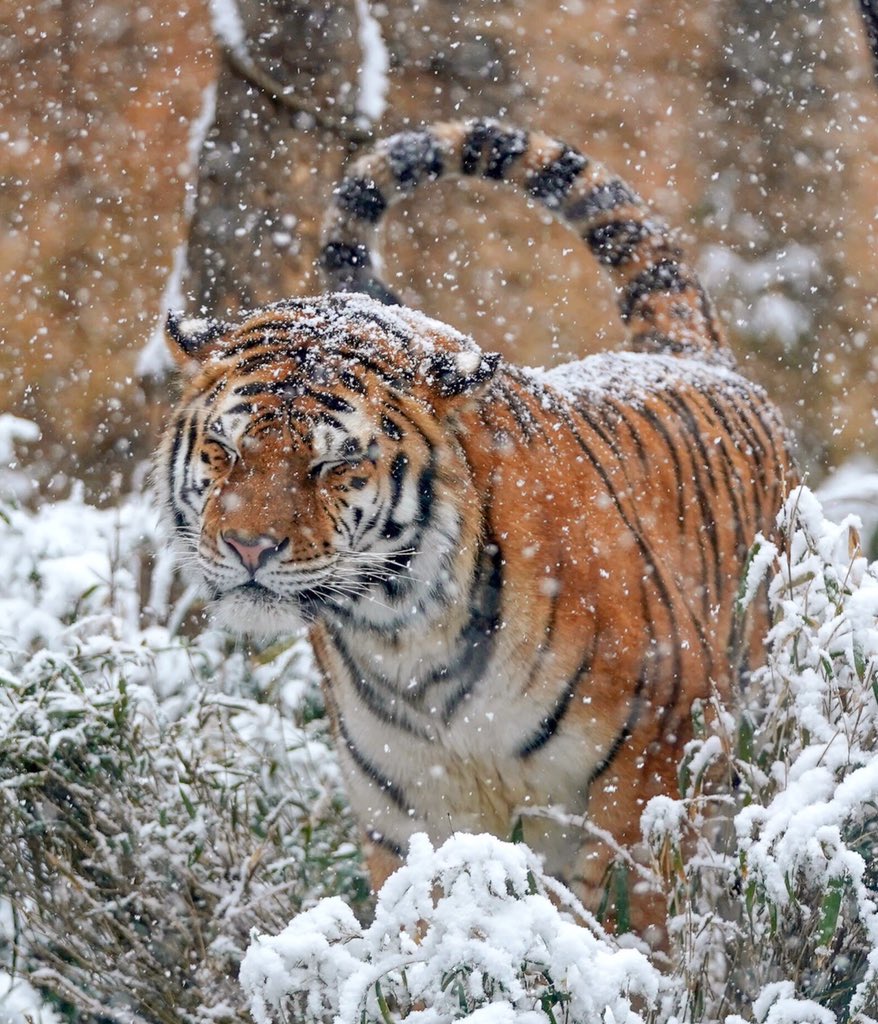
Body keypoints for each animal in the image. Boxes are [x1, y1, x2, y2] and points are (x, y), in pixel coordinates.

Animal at [157, 117, 795, 937]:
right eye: (226, 448)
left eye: (335, 463)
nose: (246, 546)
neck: (402, 631)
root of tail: (687, 352)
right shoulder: (406, 807)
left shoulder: (658, 755)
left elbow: (627, 921)